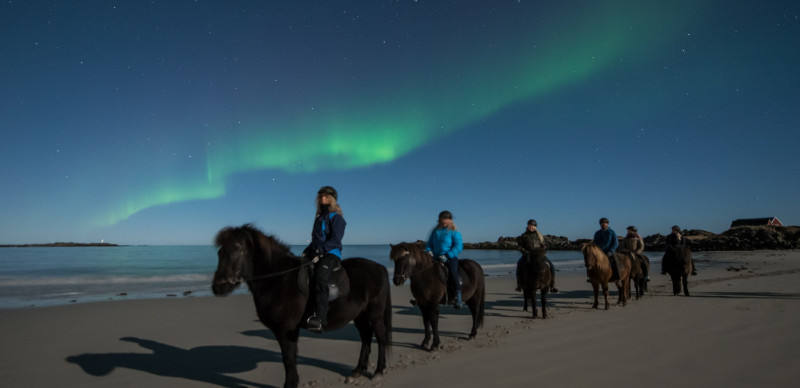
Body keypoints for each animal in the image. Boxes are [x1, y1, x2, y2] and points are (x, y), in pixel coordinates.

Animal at [209, 224, 390, 388]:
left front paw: (290, 384)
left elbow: (288, 358)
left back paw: (379, 372)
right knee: (366, 337)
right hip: (360, 314)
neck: (278, 279)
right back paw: (357, 371)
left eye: (237, 249)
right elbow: (290, 358)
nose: (218, 287)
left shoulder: (286, 330)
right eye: (220, 252)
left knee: (380, 337)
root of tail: (379, 267)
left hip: (375, 313)